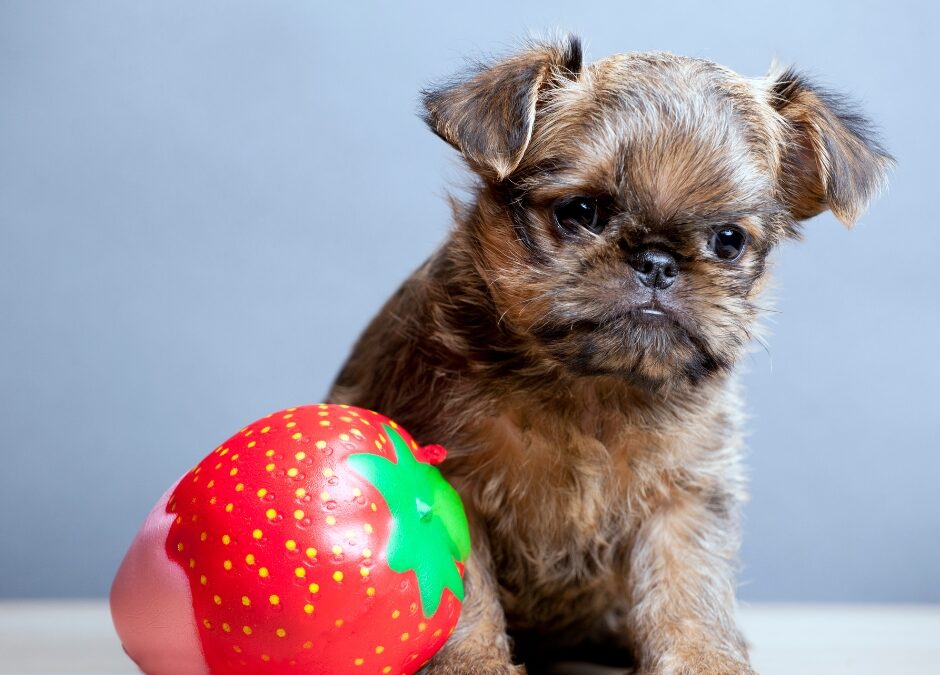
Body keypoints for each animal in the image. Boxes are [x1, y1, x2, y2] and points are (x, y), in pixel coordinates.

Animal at [328, 38, 888, 675]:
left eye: (728, 241)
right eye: (582, 212)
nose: (657, 261)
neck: (593, 386)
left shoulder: (684, 499)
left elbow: (687, 589)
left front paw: (703, 658)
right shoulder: (450, 484)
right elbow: (464, 595)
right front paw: (471, 663)